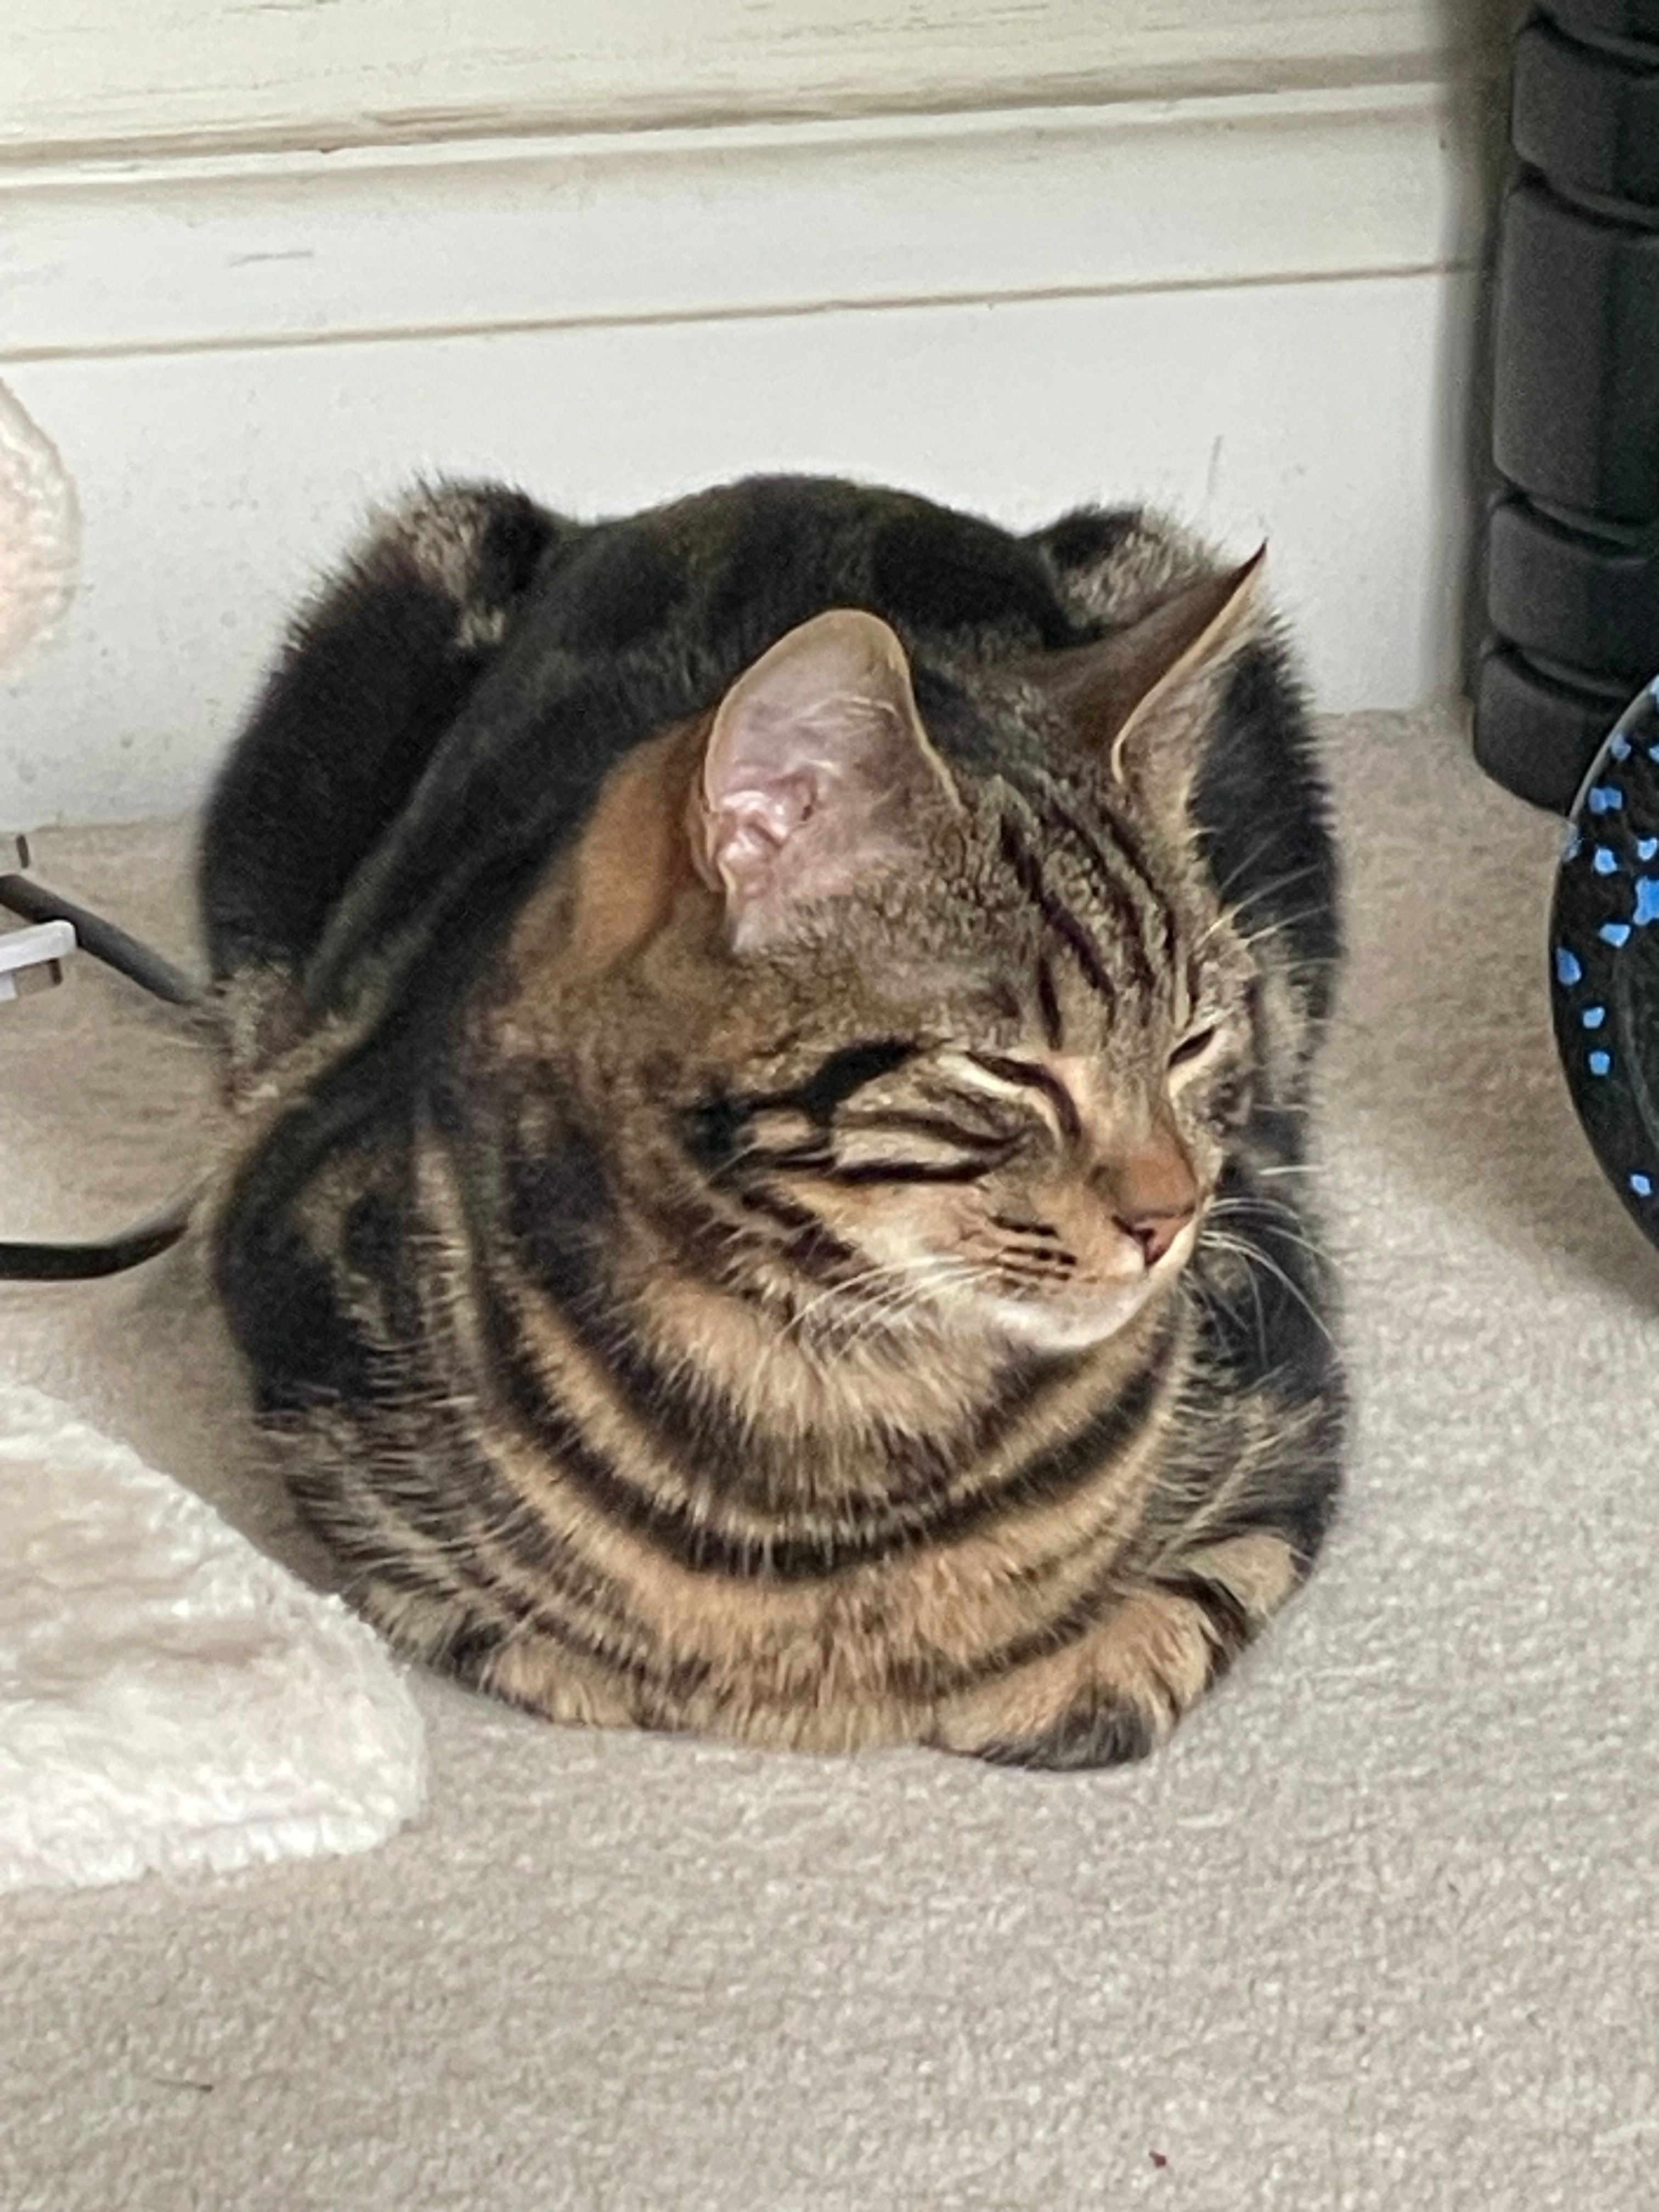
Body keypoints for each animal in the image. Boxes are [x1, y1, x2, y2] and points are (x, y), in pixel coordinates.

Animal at [199, 473, 1343, 1767]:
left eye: (1194, 1041)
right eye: (1010, 1072)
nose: (1172, 1216)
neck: (833, 1387)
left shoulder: (1292, 1388)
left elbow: (1173, 1621)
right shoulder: (297, 1318)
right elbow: (496, 1628)